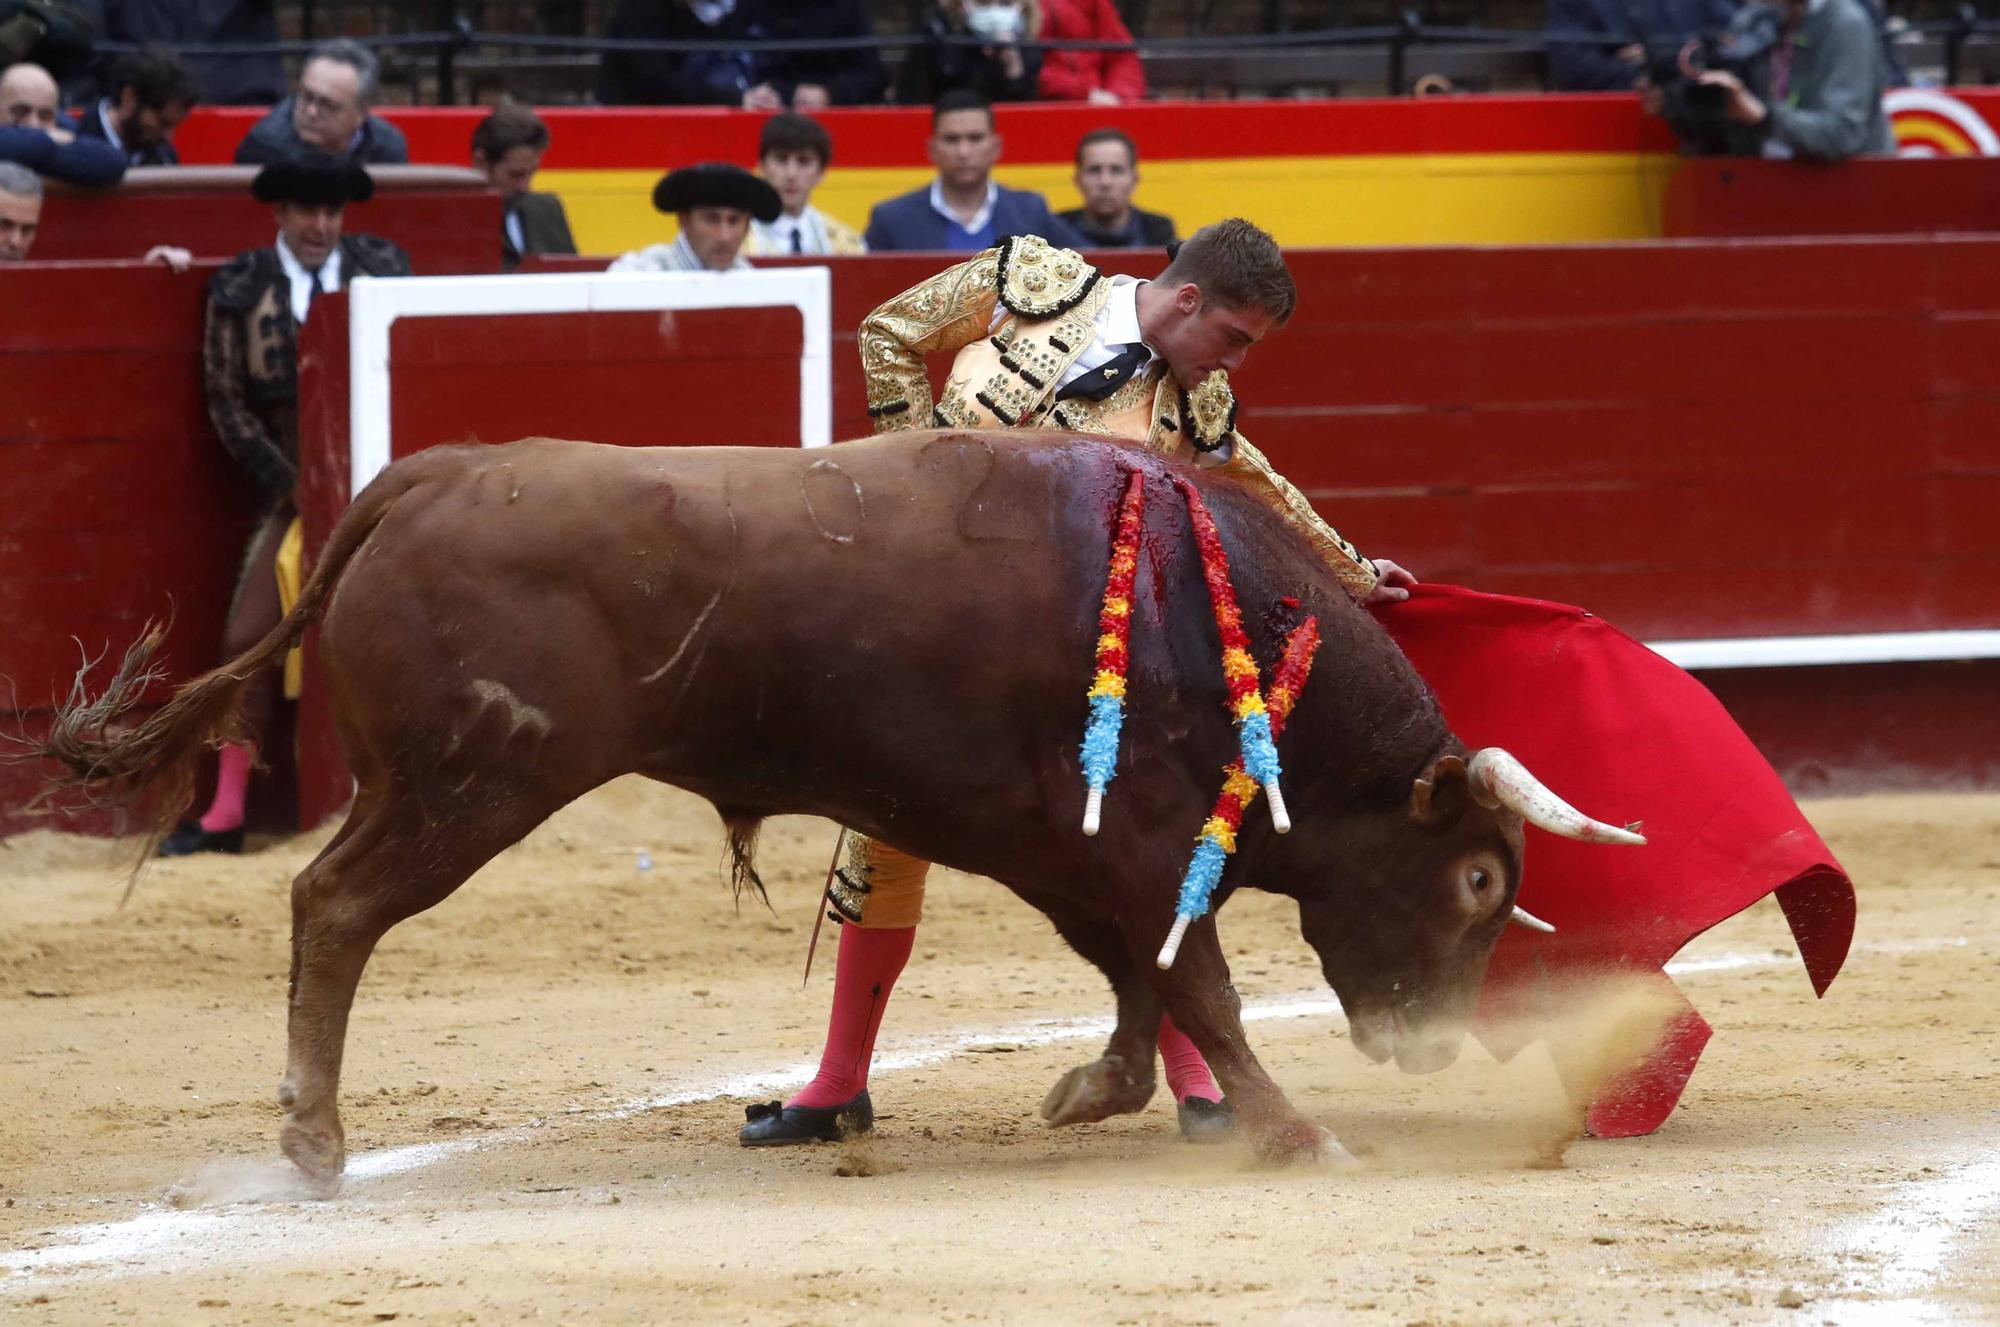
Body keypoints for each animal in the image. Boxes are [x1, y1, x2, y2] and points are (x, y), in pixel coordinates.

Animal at [43, 429, 1640, 1175]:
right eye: (1481, 882)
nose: (1429, 1048)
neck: (1210, 611)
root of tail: (431, 474)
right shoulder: (1136, 838)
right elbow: (1204, 983)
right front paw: (1299, 1133)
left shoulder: (1067, 849)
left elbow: (1140, 976)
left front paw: (1099, 1088)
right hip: (462, 784)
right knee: (334, 904)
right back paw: (313, 1139)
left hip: (437, 783)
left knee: (329, 903)